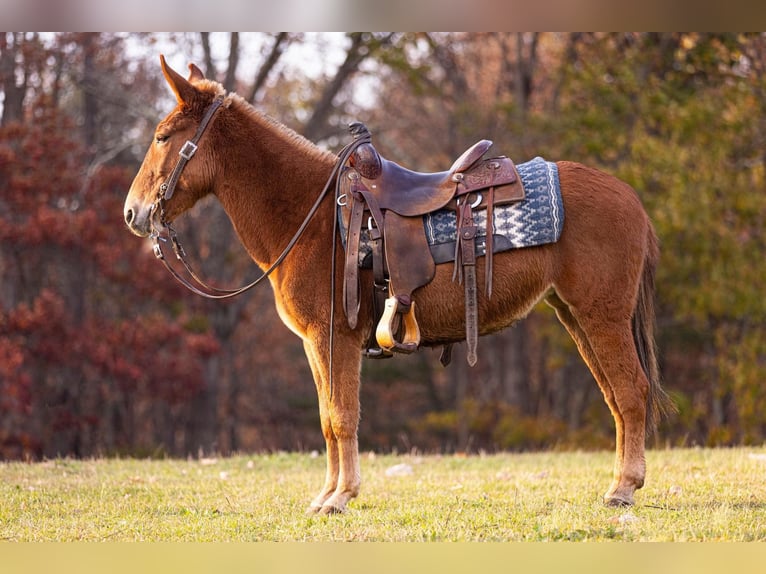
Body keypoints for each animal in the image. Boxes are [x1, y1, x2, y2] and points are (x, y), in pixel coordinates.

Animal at [123, 56, 668, 516]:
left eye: (163, 136)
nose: (132, 213)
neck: (314, 217)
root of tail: (630, 198)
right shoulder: (316, 344)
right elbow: (326, 419)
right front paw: (325, 494)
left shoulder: (334, 337)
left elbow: (342, 415)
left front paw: (340, 497)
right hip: (575, 316)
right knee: (616, 398)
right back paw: (620, 483)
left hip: (602, 317)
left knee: (632, 391)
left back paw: (624, 489)